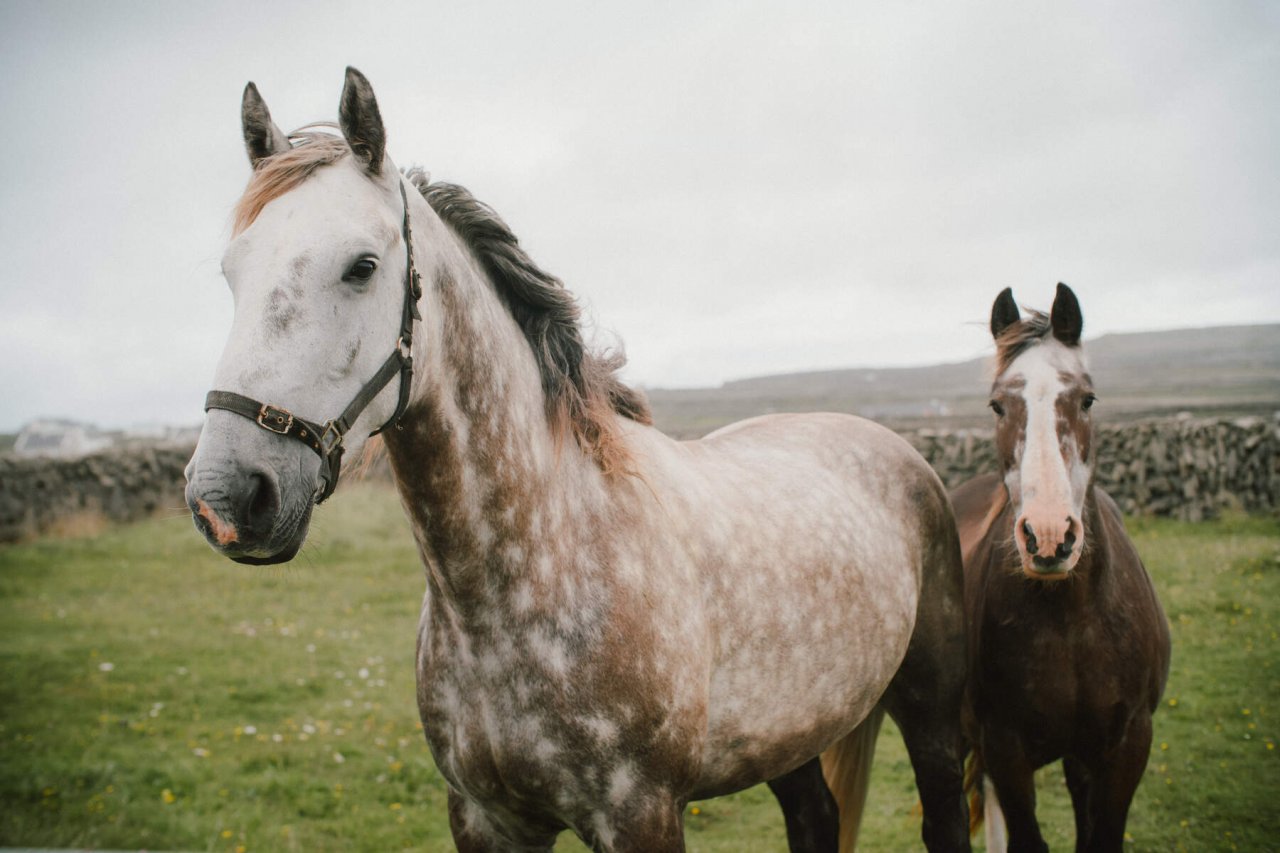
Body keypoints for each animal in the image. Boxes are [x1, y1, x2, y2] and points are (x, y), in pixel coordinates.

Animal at [957, 281, 1172, 845]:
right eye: (997, 406)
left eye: (1087, 398)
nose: (1050, 538)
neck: (1072, 620)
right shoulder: (1005, 751)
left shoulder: (1127, 747)